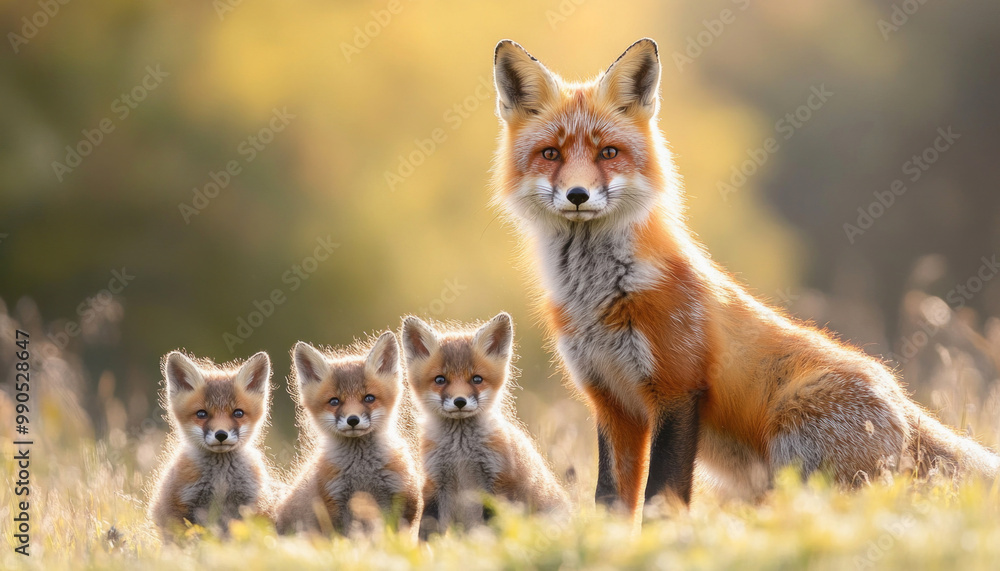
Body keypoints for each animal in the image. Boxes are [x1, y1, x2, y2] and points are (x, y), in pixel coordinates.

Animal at [149, 351, 275, 539]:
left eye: (238, 413)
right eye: (202, 414)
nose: (221, 434)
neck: (221, 481)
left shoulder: (251, 504)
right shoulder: (176, 505)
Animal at [274, 332, 423, 538]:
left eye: (369, 398)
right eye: (334, 401)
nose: (353, 420)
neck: (362, 471)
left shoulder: (402, 497)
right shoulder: (334, 503)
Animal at [401, 312, 570, 536]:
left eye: (477, 379)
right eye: (440, 380)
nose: (460, 401)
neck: (460, 453)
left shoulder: (498, 481)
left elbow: (492, 526)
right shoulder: (435, 482)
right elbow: (428, 531)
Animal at [490, 37, 1000, 525]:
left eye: (608, 153)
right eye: (551, 154)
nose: (578, 195)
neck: (600, 296)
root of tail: (906, 404)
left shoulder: (677, 390)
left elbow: (661, 497)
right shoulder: (612, 403)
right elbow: (612, 500)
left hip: (796, 449)